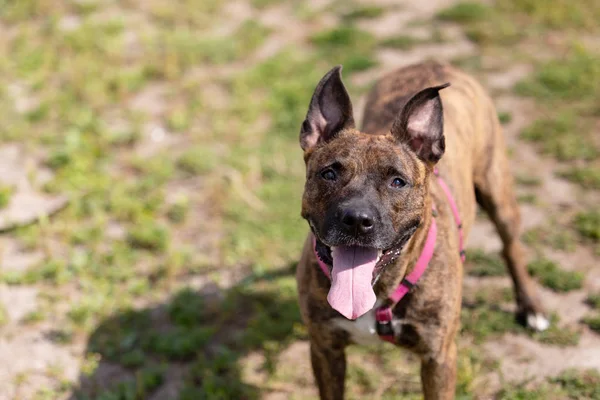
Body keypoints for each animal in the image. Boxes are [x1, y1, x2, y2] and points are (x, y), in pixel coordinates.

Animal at [294, 61, 548, 398]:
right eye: (329, 174)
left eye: (397, 182)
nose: (357, 219)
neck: (379, 290)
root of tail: (432, 61)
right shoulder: (325, 349)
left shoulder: (438, 358)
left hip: (498, 193)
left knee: (511, 247)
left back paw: (531, 307)